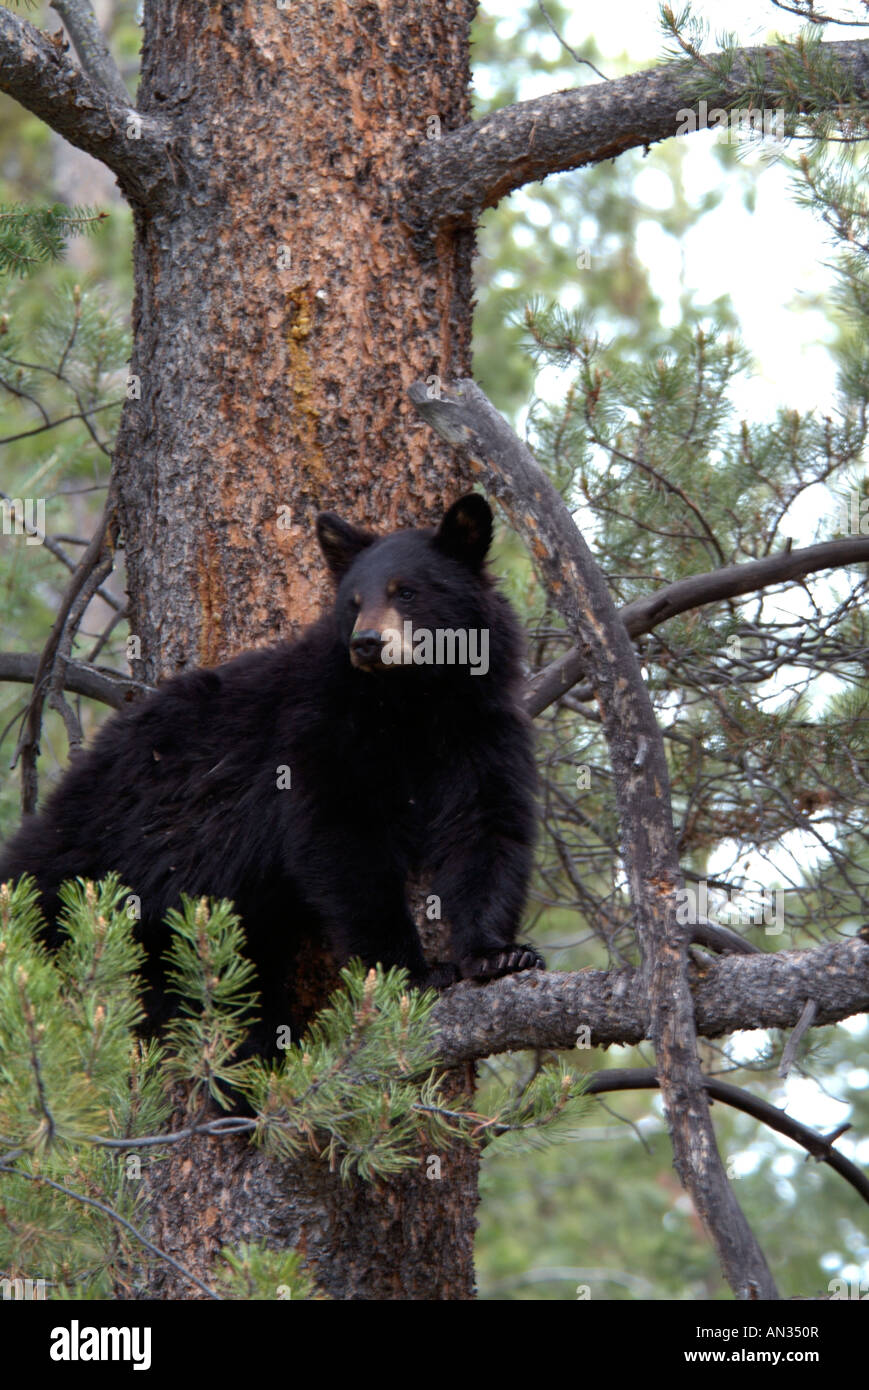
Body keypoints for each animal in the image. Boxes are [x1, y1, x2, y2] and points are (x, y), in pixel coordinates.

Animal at [0, 493, 543, 1056]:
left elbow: (487, 829)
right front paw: (411, 971)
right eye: (353, 602)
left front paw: (497, 953)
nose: (367, 642)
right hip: (91, 865)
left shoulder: (481, 730)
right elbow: (343, 841)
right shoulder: (319, 732)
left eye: (407, 591)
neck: (415, 703)